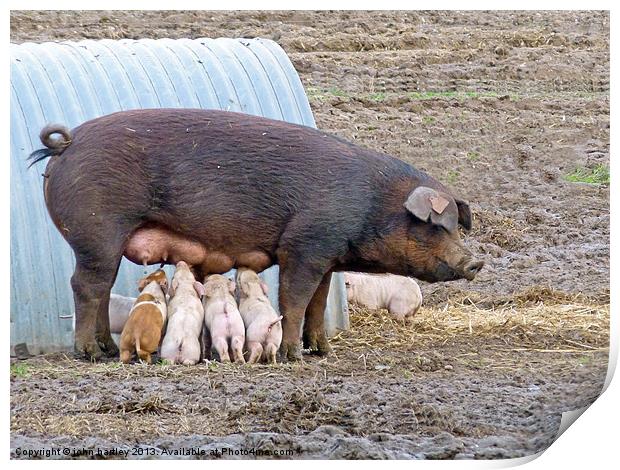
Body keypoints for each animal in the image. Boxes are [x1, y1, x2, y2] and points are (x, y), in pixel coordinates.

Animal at [29, 108, 484, 362]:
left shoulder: (326, 257)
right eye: (436, 226)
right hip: (97, 230)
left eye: (455, 226)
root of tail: (66, 145)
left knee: (101, 289)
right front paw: (293, 355)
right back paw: (90, 355)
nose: (476, 261)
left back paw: (106, 350)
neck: (373, 204)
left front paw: (323, 351)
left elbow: (318, 303)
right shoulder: (304, 246)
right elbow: (295, 300)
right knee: (86, 286)